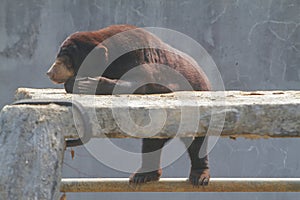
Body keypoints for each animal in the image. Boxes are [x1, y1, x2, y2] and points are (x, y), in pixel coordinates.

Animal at [46, 24, 211, 185]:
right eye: (58, 55)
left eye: (68, 59)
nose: (50, 72)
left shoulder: (137, 58)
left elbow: (140, 82)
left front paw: (85, 83)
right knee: (152, 144)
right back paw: (143, 174)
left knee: (197, 143)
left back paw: (199, 175)